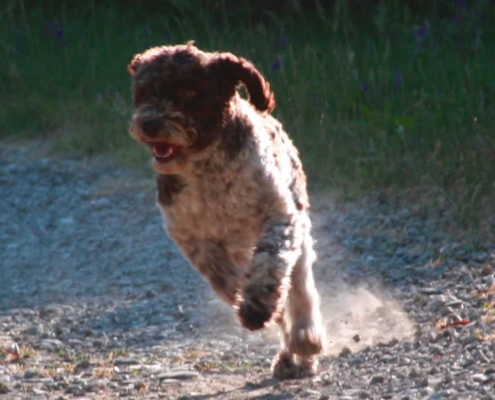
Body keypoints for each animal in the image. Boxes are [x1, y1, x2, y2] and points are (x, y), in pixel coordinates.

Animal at [129, 43, 326, 378]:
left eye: (188, 92)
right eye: (143, 91)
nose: (150, 124)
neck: (207, 170)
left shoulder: (280, 217)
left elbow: (269, 265)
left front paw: (257, 306)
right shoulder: (194, 240)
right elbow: (225, 279)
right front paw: (249, 302)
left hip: (297, 229)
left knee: (300, 290)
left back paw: (305, 341)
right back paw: (287, 354)